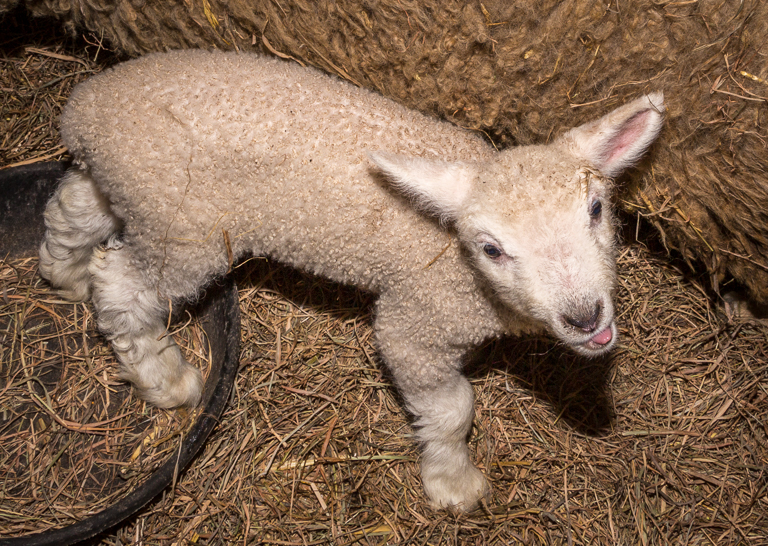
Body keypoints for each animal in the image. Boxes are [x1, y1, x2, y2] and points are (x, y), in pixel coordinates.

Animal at [38, 50, 664, 512]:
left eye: (595, 210)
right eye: (491, 248)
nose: (584, 316)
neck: (460, 266)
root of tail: (84, 108)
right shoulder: (414, 324)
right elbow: (453, 409)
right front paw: (453, 485)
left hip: (131, 192)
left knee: (73, 208)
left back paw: (62, 274)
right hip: (183, 228)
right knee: (122, 286)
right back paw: (166, 379)